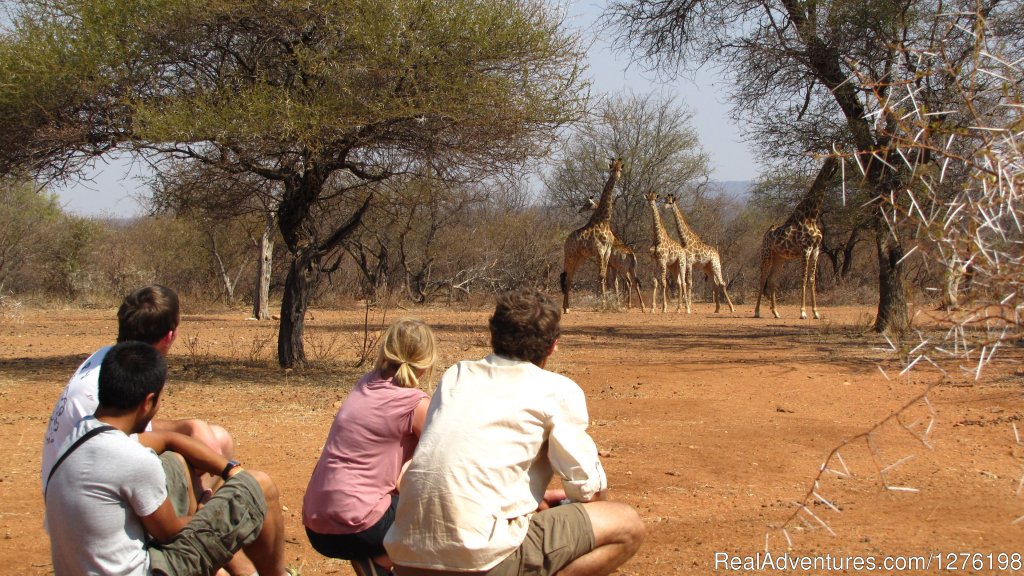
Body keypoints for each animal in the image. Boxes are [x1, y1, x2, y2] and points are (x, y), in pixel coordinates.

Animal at [561, 156, 622, 311]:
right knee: (567, 277)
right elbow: (600, 276)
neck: (604, 221)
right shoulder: (599, 250)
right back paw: (565, 308)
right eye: (612, 169)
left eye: (621, 168)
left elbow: (604, 275)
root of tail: (566, 242)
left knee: (570, 278)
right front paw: (603, 304)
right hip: (570, 256)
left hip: (580, 258)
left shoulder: (607, 251)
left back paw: (567, 307)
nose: (616, 177)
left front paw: (605, 303)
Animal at [753, 156, 839, 317]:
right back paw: (757, 311)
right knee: (762, 279)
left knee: (772, 280)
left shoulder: (816, 249)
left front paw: (816, 312)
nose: (835, 165)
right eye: (833, 156)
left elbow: (812, 279)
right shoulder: (805, 249)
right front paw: (803, 312)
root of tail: (766, 234)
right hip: (766, 254)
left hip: (780, 258)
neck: (811, 215)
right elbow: (803, 279)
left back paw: (776, 312)